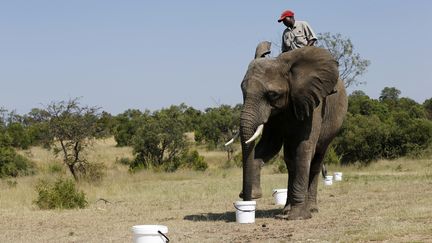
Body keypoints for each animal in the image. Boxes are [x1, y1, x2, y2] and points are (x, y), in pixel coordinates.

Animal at [238, 41, 350, 220]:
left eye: (272, 94)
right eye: (243, 91)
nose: (245, 198)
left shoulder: (313, 103)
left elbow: (304, 148)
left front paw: (297, 217)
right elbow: (268, 146)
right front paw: (254, 194)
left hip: (333, 126)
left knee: (316, 159)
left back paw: (310, 209)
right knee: (291, 162)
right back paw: (285, 210)